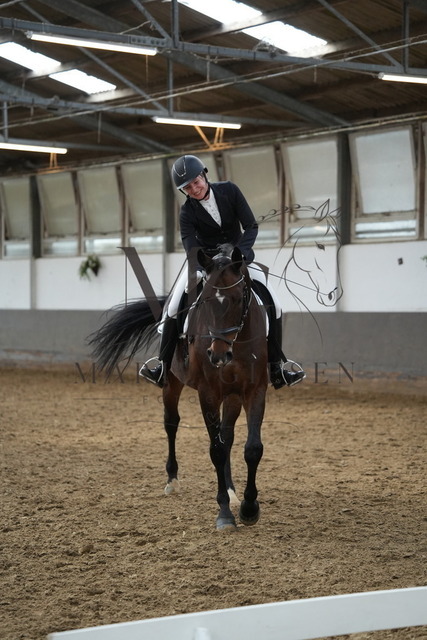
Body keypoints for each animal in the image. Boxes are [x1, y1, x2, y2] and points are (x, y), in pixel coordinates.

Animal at [89, 244, 269, 531]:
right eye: (204, 301)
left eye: (239, 300)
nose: (218, 356)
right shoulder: (208, 393)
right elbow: (216, 450)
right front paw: (225, 514)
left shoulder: (254, 390)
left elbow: (251, 448)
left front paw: (249, 508)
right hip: (172, 382)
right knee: (171, 423)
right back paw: (172, 480)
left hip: (231, 396)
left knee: (226, 436)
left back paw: (231, 489)